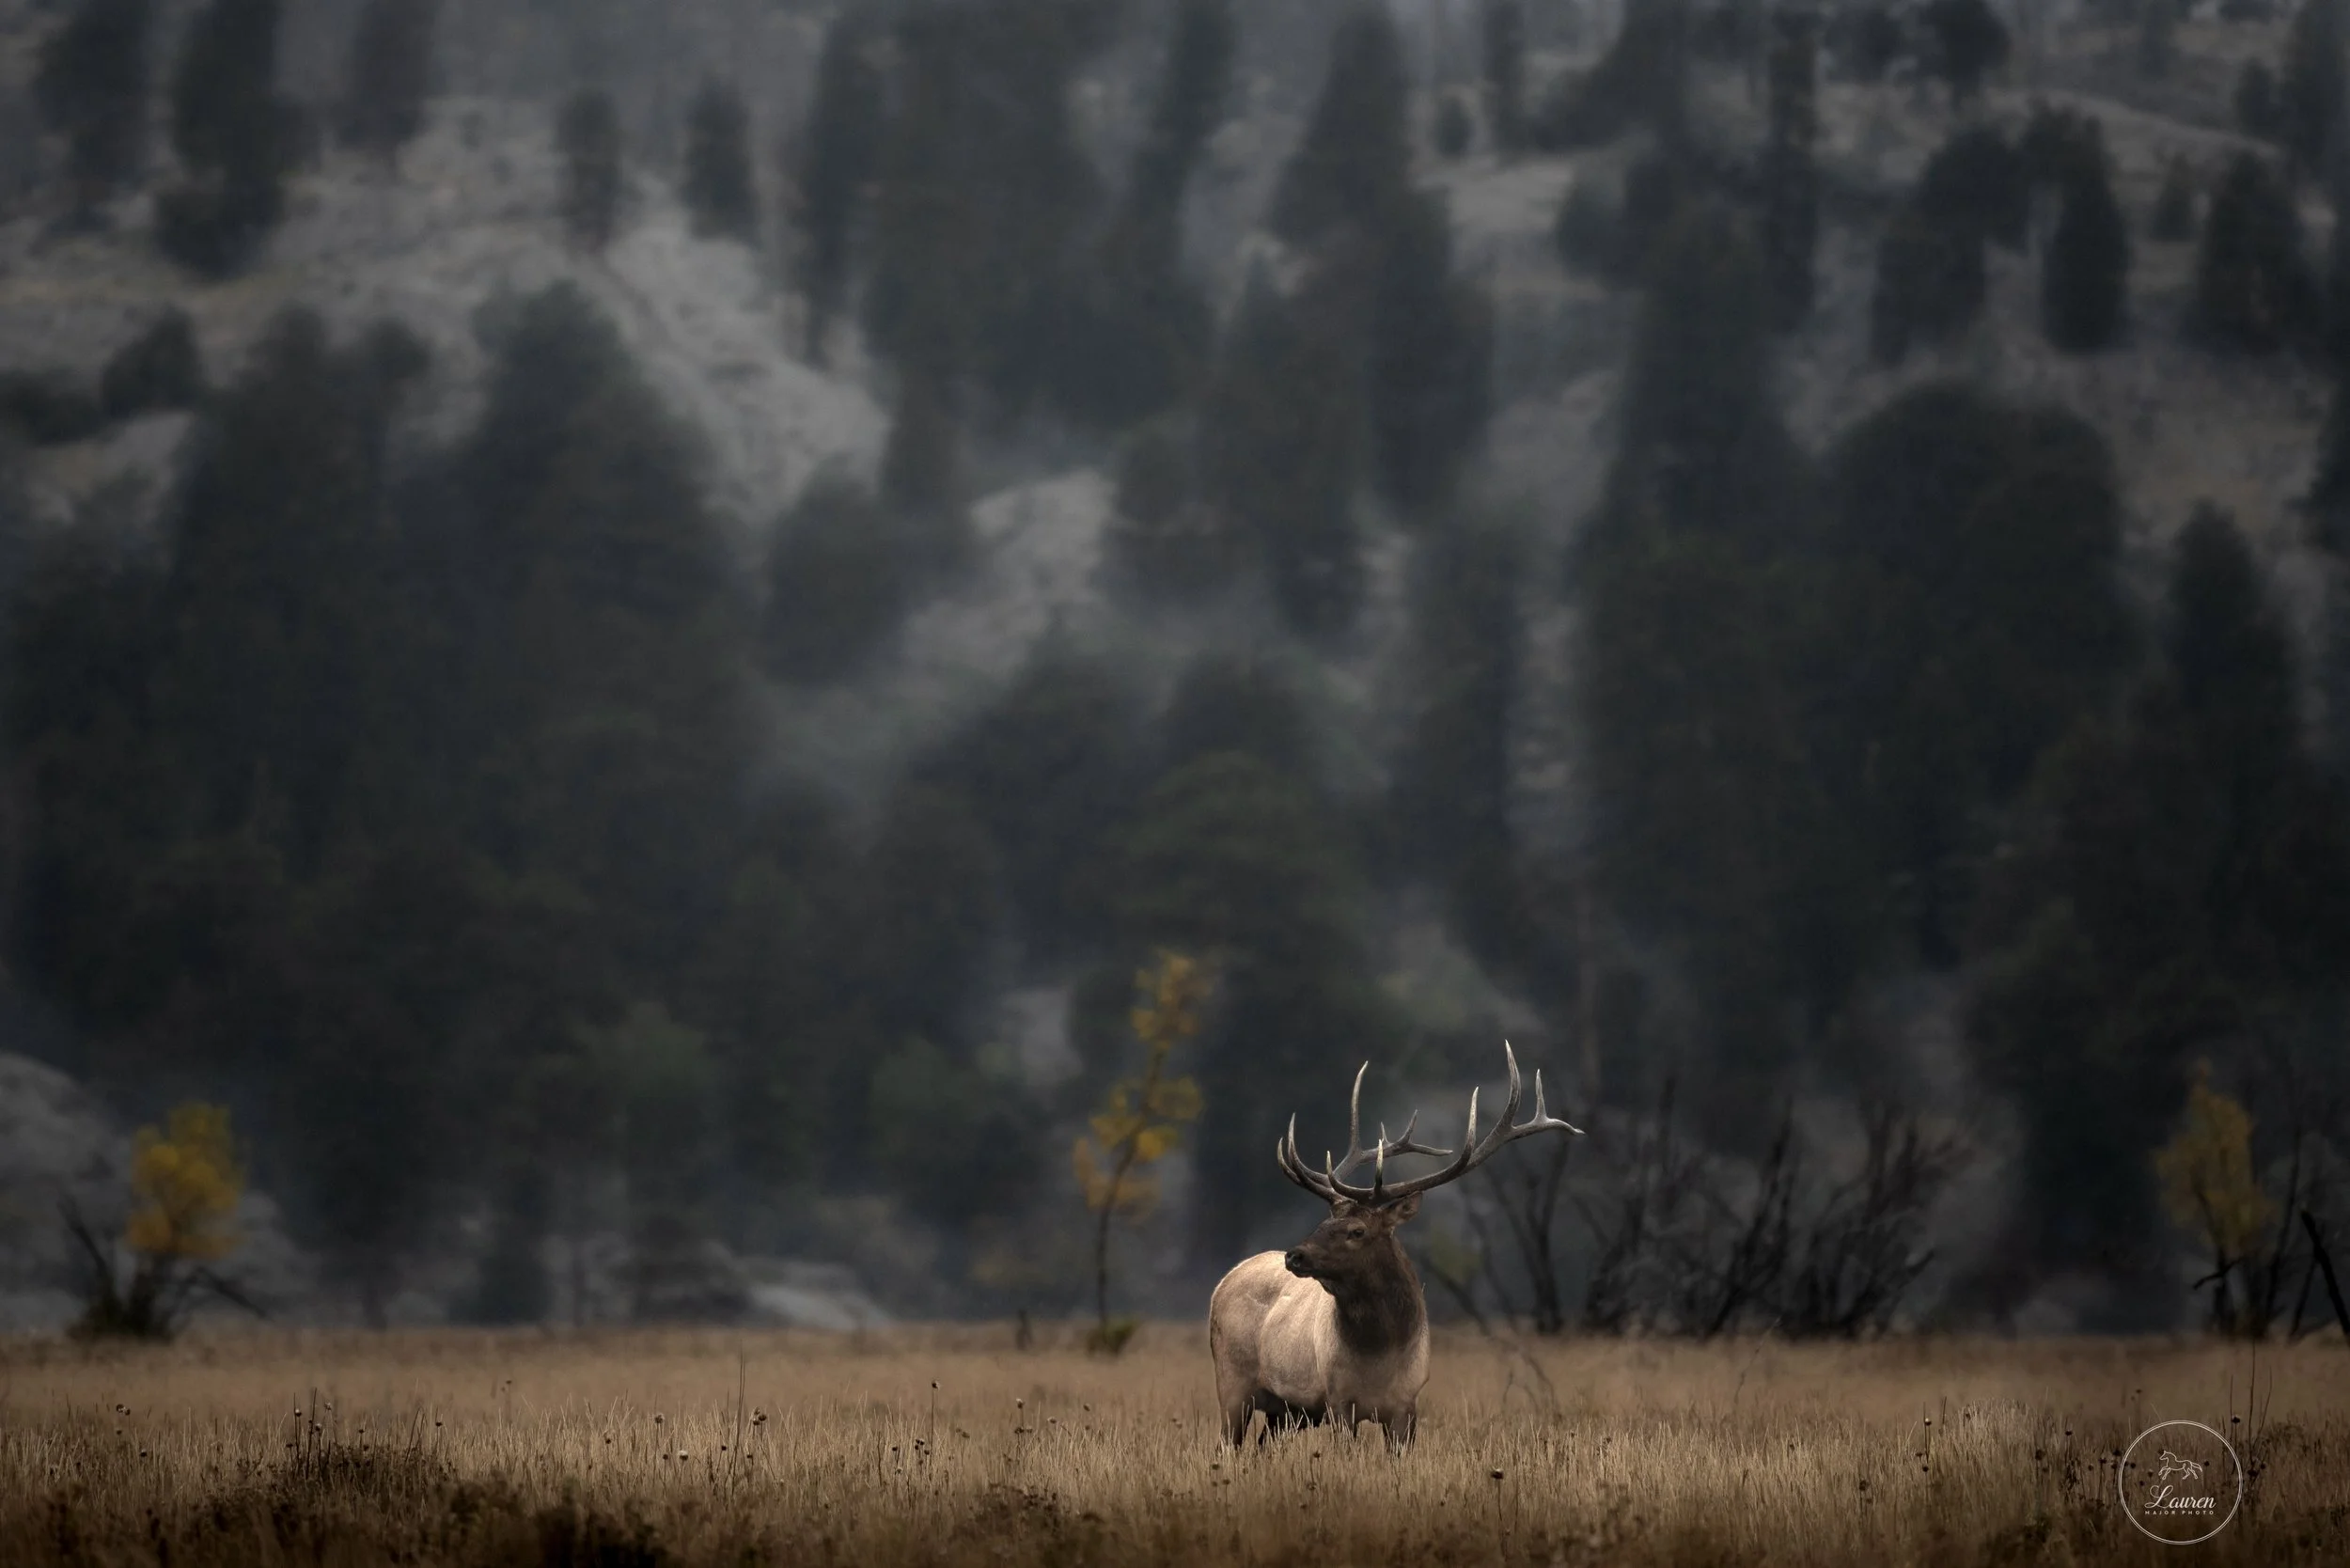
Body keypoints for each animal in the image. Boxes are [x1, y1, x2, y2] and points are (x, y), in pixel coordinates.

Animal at [1208, 1043, 1581, 1451]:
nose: (1295, 1255)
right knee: (1228, 1443)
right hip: (1232, 1384)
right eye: (1323, 1223)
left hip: (1287, 1412)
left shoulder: (1407, 1405)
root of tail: (1223, 1281)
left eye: (1356, 1230)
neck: (1379, 1355)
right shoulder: (1337, 1400)